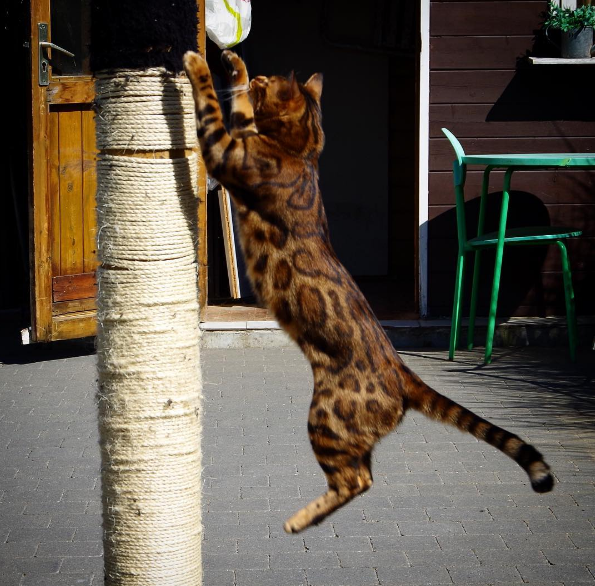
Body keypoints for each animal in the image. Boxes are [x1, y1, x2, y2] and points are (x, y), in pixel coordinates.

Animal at [183, 51, 556, 532]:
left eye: (269, 83)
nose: (259, 74)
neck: (303, 151)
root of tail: (403, 373)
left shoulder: (227, 151)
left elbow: (213, 109)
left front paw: (199, 64)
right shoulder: (243, 137)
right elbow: (240, 112)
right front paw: (234, 64)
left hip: (327, 419)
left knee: (357, 480)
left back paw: (298, 521)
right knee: (364, 476)